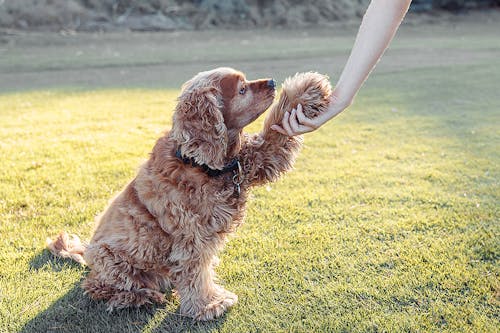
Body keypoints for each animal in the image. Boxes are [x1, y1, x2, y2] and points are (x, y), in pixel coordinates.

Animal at [47, 67, 332, 320]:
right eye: (241, 89)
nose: (272, 81)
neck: (200, 163)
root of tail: (86, 253)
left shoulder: (254, 161)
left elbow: (275, 134)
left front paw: (306, 91)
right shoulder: (192, 236)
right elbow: (196, 273)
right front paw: (209, 304)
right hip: (112, 260)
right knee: (99, 287)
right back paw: (139, 296)